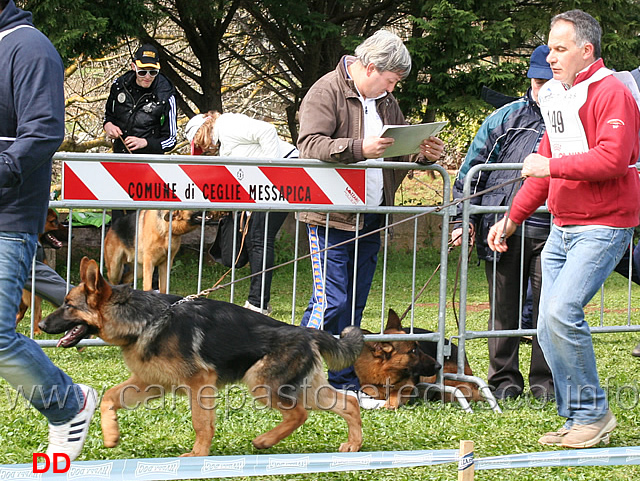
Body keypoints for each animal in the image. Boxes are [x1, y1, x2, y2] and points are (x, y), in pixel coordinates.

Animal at [41, 256, 364, 456]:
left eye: (68, 305)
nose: (42, 325)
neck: (142, 318)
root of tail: (307, 332)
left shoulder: (199, 383)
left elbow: (201, 423)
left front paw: (198, 454)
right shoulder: (150, 383)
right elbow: (109, 397)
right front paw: (111, 435)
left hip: (261, 383)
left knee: (299, 413)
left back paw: (264, 440)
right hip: (304, 389)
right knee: (347, 404)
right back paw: (354, 445)